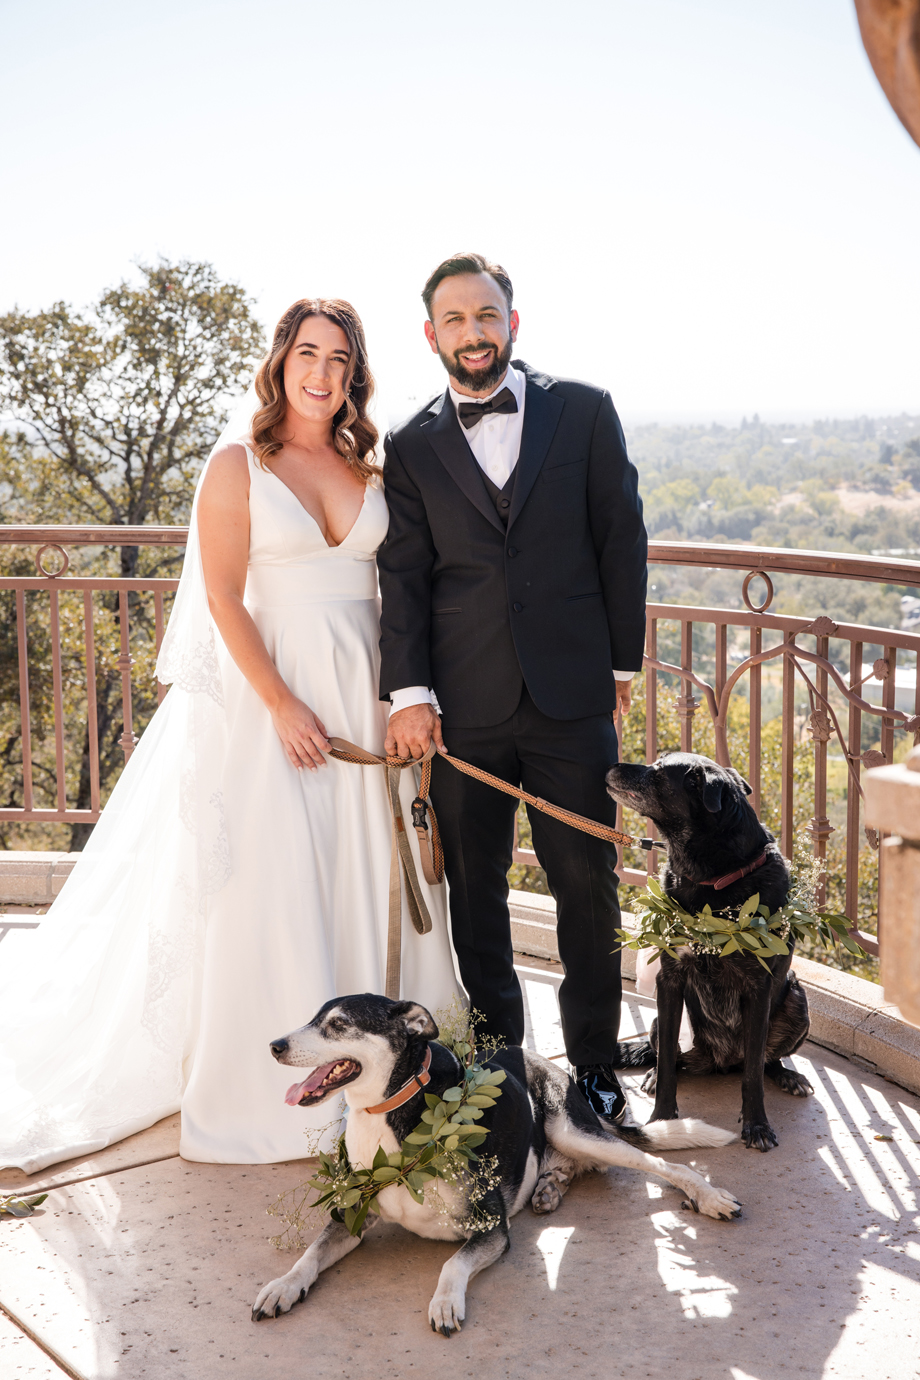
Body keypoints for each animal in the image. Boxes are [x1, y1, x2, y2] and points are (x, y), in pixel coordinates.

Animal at [252, 993, 742, 1336]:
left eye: (339, 1024)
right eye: (314, 1018)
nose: (274, 1045)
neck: (387, 1112)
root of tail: (549, 1065)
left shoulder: (491, 1229)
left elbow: (452, 1264)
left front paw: (445, 1301)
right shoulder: (352, 1213)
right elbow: (311, 1253)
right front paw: (283, 1285)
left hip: (574, 1130)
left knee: (660, 1165)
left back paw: (709, 1196)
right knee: (571, 1165)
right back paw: (548, 1187)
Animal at [606, 752, 813, 1152]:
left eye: (658, 771)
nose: (612, 764)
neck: (712, 877)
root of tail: (720, 1061)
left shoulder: (759, 989)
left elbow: (753, 1075)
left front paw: (757, 1124)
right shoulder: (669, 981)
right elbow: (668, 1067)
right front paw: (663, 1120)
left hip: (797, 998)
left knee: (763, 1061)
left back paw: (787, 1076)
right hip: (662, 1022)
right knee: (667, 1057)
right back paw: (653, 1074)